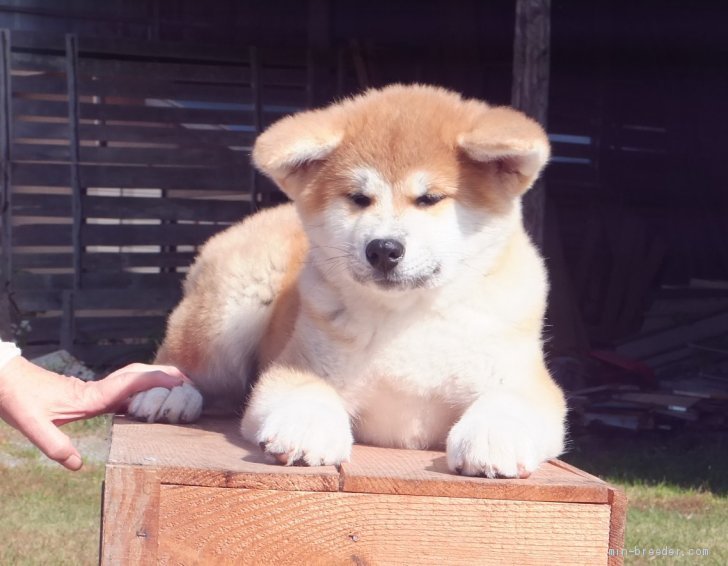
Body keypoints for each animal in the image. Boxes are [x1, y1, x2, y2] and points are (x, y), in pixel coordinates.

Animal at [128, 84, 564, 480]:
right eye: (358, 198)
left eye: (429, 199)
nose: (383, 249)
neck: (407, 317)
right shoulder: (299, 364)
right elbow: (307, 390)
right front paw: (307, 426)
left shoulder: (529, 381)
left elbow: (510, 402)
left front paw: (495, 437)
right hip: (228, 311)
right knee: (183, 364)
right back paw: (166, 391)